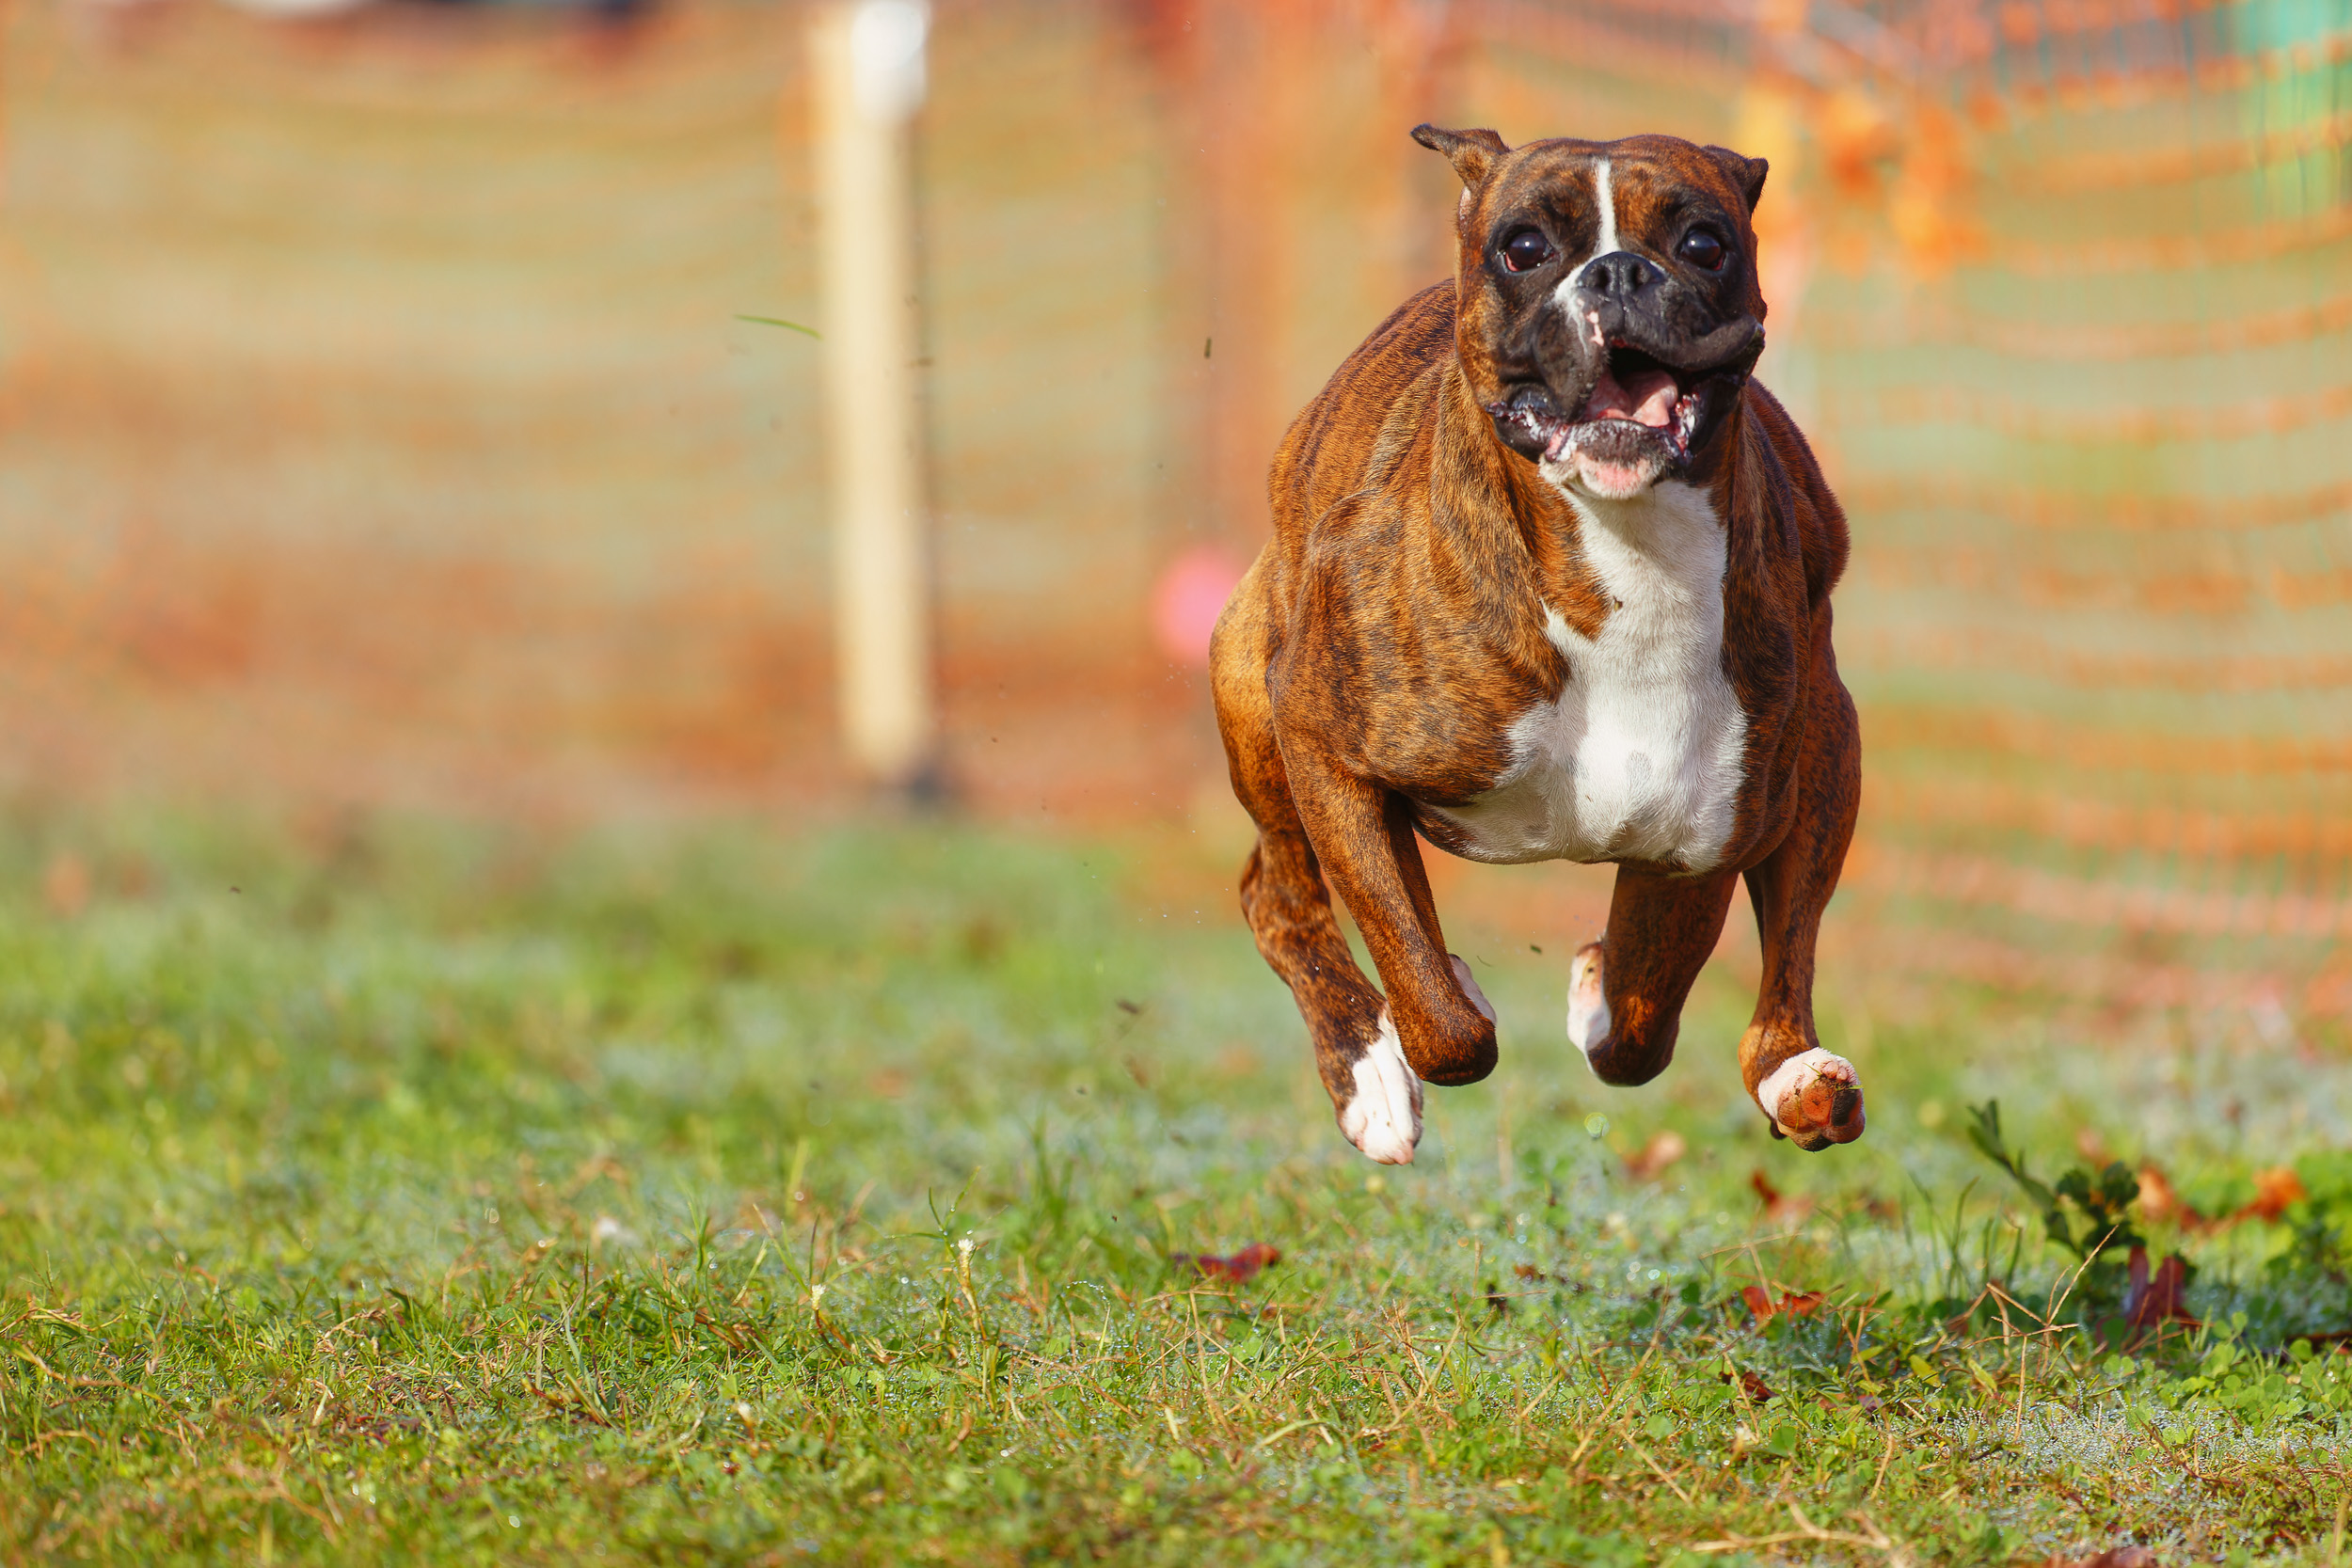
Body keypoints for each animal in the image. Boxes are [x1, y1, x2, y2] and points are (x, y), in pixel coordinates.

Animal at [1209, 126, 1862, 1164]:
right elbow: (1439, 1016)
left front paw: (1598, 991)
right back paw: (1366, 1071)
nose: (1620, 272)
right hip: (1251, 703)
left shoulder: (1694, 844)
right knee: (1278, 894)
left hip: (1827, 755)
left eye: (1703, 243)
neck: (1628, 552)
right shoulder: (1324, 746)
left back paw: (1798, 1074)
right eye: (1523, 248)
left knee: (1783, 959)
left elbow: (1638, 1018)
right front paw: (1418, 1032)